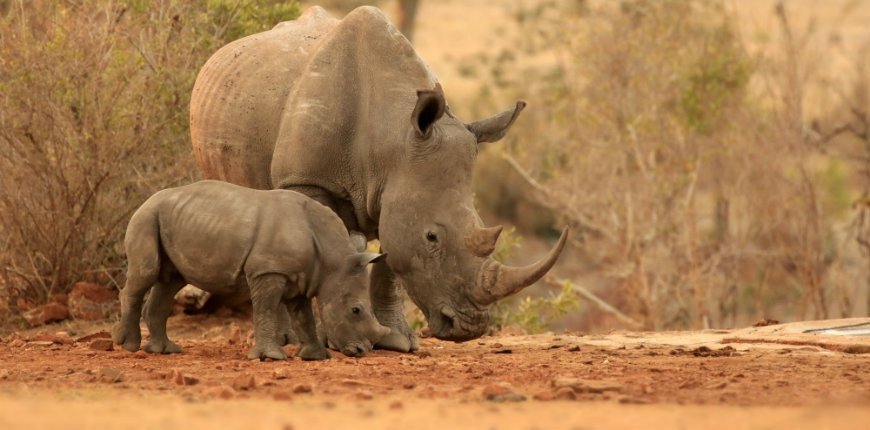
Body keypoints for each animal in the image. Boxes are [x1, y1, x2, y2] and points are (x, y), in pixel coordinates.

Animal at [112, 180, 392, 362]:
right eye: (355, 310)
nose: (361, 352)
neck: (332, 259)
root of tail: (147, 200)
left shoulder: (301, 278)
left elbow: (304, 317)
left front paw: (316, 357)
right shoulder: (268, 271)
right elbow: (266, 309)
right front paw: (272, 357)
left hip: (170, 219)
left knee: (171, 282)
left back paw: (165, 350)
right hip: (146, 217)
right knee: (146, 274)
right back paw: (128, 346)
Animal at [190, 5, 568, 352]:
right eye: (432, 237)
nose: (468, 328)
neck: (392, 141)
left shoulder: (396, 191)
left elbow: (390, 266)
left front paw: (397, 341)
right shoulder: (307, 180)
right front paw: (329, 341)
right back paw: (286, 340)